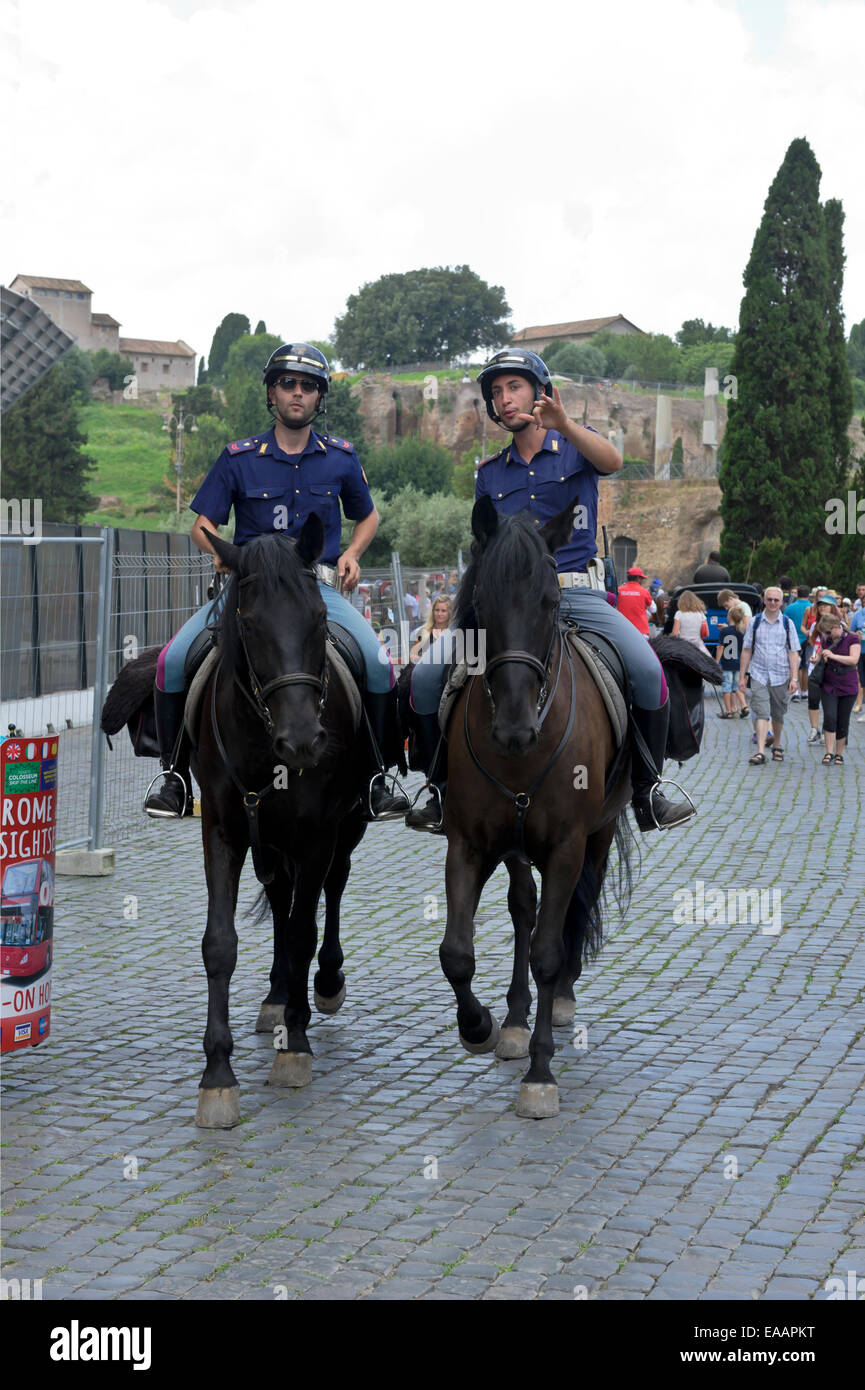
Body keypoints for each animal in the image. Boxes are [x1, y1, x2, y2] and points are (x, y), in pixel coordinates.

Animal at [436, 500, 634, 1117]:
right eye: (483, 604)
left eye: (549, 602)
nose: (515, 727)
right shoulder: (469, 844)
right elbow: (457, 952)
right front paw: (479, 1026)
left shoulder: (568, 844)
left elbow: (548, 949)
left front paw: (541, 1074)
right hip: (517, 845)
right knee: (525, 906)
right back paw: (516, 1020)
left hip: (598, 832)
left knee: (576, 903)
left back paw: (559, 1000)